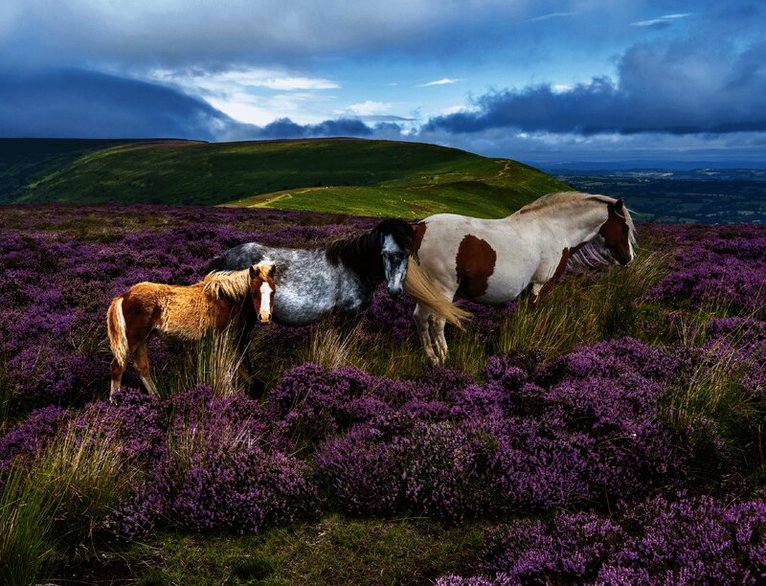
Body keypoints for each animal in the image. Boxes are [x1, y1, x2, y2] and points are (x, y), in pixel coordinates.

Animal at [106, 261, 276, 400]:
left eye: (273, 292)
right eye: (254, 292)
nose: (264, 317)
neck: (226, 298)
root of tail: (124, 296)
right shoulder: (221, 337)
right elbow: (226, 367)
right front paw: (229, 394)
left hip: (144, 339)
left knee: (142, 368)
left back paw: (157, 399)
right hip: (133, 339)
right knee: (117, 367)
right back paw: (116, 402)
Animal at [205, 218, 466, 328]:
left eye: (407, 253)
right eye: (383, 252)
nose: (394, 290)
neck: (355, 266)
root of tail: (223, 258)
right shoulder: (348, 315)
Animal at [410, 191, 637, 366]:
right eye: (625, 227)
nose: (629, 259)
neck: (555, 230)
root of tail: (421, 227)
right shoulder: (541, 285)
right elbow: (533, 316)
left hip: (428, 293)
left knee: (420, 318)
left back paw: (432, 360)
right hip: (443, 290)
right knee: (437, 322)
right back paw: (444, 359)